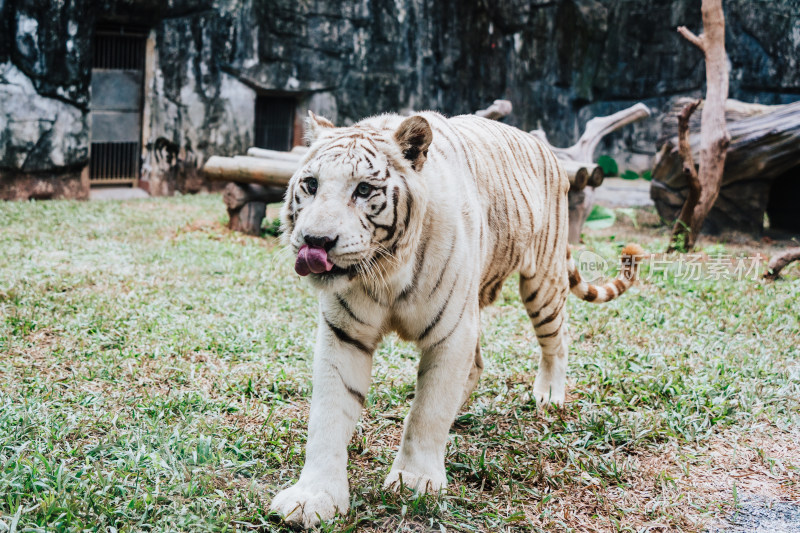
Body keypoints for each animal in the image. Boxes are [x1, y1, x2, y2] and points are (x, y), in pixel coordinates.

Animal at [270, 110, 644, 524]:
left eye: (364, 190)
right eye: (311, 184)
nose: (315, 242)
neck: (385, 272)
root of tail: (544, 147)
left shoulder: (451, 333)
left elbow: (429, 410)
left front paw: (415, 482)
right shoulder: (343, 334)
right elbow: (329, 416)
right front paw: (313, 497)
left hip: (542, 283)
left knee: (557, 341)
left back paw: (549, 396)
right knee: (478, 364)